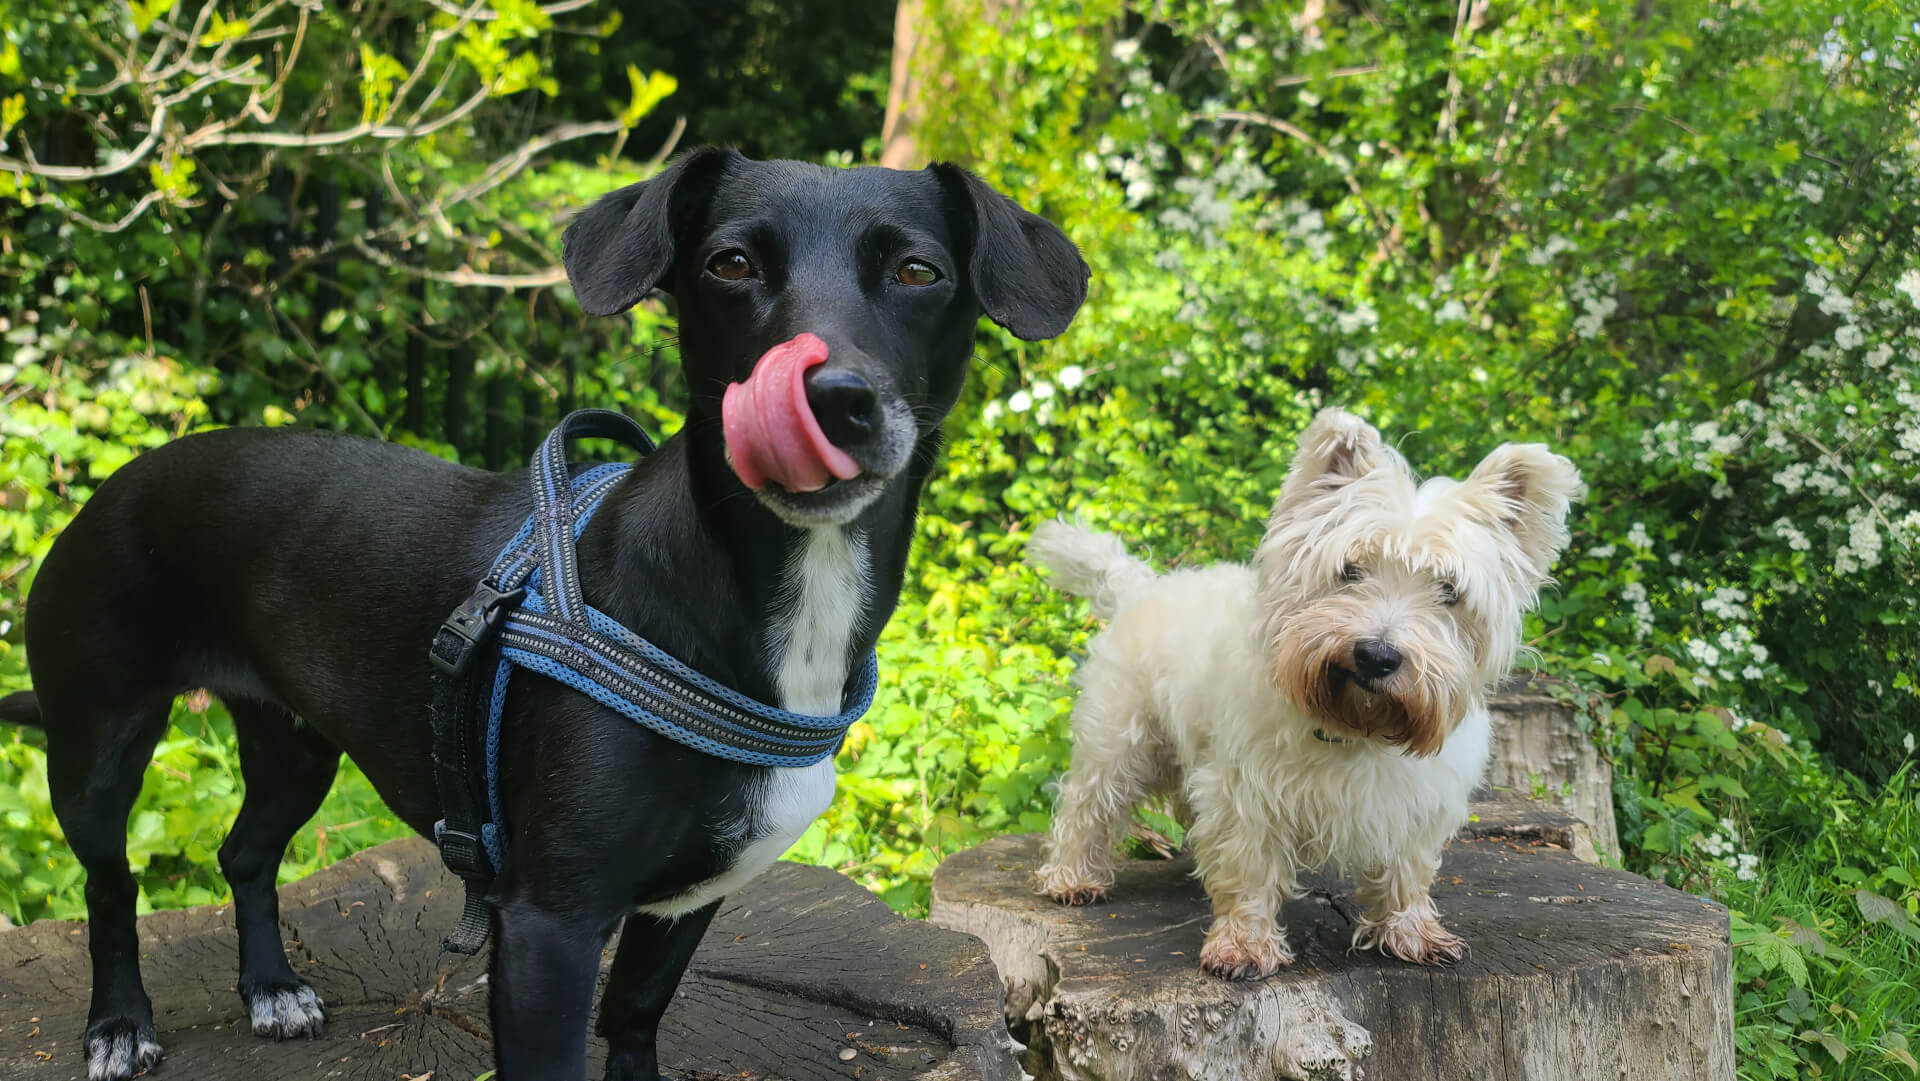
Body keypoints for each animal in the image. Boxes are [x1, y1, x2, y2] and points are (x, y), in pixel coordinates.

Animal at [0, 149, 1082, 1081]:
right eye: (730, 263)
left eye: (917, 270)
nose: (831, 397)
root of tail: (113, 485)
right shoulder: (548, 927)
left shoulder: (688, 897)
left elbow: (635, 1020)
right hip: (97, 743)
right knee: (111, 884)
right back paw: (118, 1024)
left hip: (295, 743)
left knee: (246, 852)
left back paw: (269, 988)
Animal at [1029, 410, 1582, 975]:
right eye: (1350, 570)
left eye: (1450, 591)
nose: (1376, 655)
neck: (1357, 726)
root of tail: (1141, 586)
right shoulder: (1246, 795)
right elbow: (1248, 869)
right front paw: (1244, 944)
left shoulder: (1416, 806)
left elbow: (1407, 872)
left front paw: (1410, 932)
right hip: (1118, 740)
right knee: (1087, 805)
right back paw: (1073, 878)